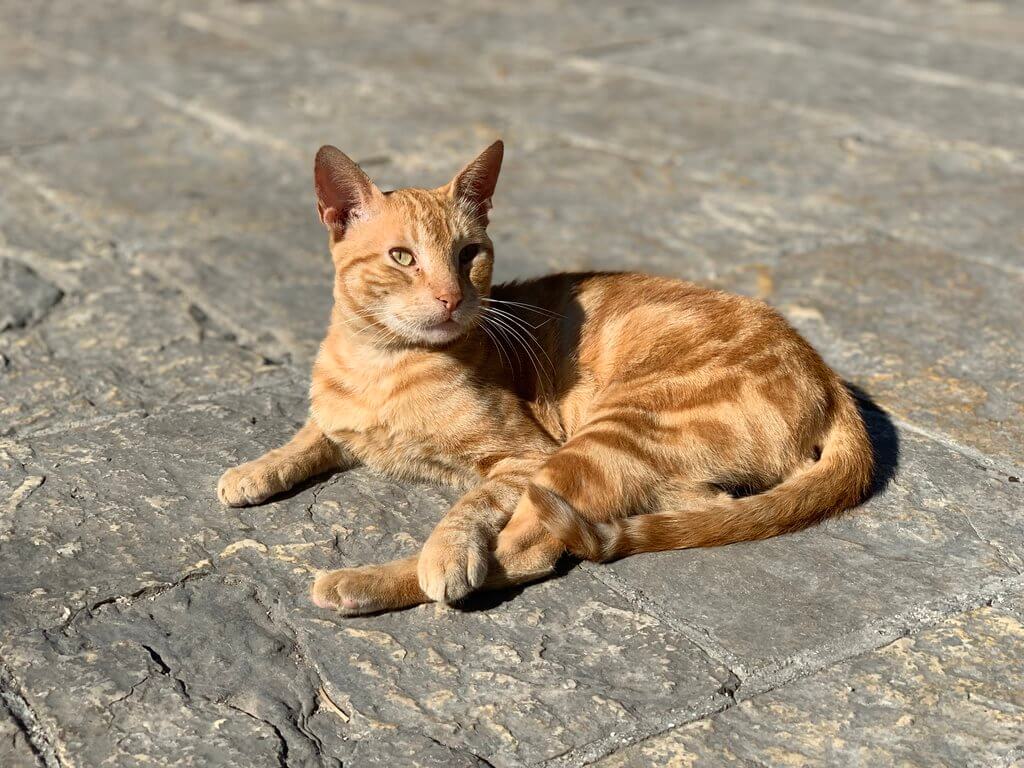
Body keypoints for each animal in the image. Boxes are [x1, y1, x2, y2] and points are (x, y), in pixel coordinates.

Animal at [216, 140, 872, 618]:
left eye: (468, 254)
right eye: (403, 257)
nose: (451, 298)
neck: (380, 362)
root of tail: (827, 374)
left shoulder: (524, 456)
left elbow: (472, 506)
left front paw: (446, 552)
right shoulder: (340, 424)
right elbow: (307, 436)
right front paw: (254, 470)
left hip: (598, 442)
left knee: (528, 550)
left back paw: (363, 582)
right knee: (702, 506)